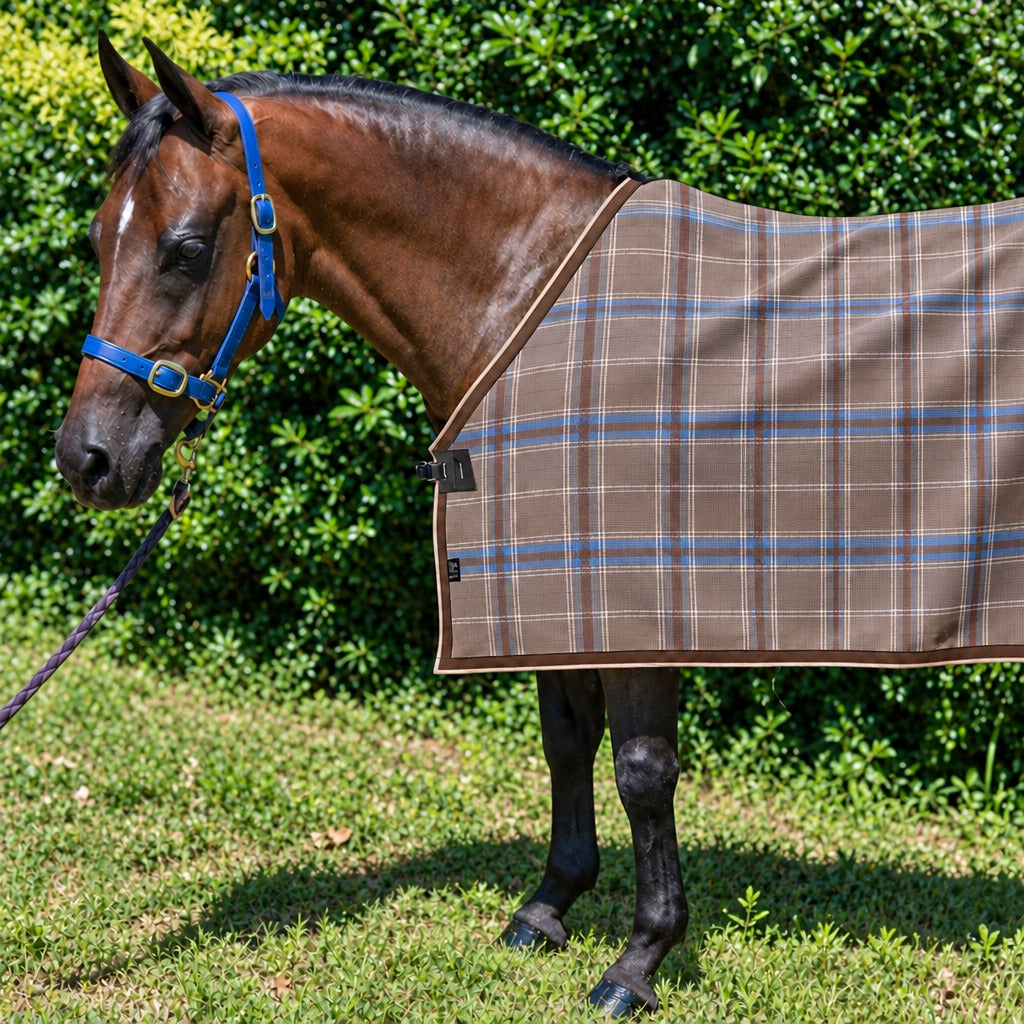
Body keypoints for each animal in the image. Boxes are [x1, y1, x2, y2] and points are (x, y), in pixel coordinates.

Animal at [54, 35, 686, 1016]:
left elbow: (642, 768)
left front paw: (639, 960)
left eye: (187, 249)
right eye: (95, 240)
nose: (85, 459)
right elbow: (567, 738)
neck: (546, 306)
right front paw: (549, 907)